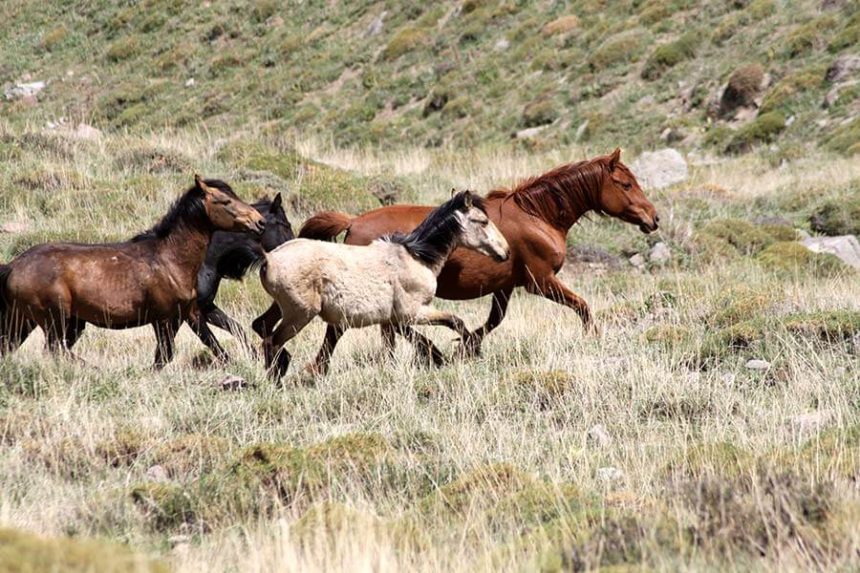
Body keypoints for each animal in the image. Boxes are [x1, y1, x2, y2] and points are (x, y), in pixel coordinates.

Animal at [0, 175, 265, 368]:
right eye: (225, 201)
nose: (259, 222)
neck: (170, 259)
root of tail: (13, 265)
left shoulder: (190, 312)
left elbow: (215, 346)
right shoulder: (164, 319)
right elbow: (165, 356)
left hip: (26, 319)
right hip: (54, 319)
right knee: (55, 350)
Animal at [189, 192, 295, 360]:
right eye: (285, 225)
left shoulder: (206, 306)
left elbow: (234, 327)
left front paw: (255, 355)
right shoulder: (191, 313)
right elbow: (210, 340)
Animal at [259, 190, 509, 380]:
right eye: (483, 221)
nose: (505, 252)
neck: (416, 257)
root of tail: (269, 259)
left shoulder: (392, 318)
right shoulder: (413, 312)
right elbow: (455, 321)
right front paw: (466, 350)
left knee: (264, 329)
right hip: (299, 314)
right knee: (272, 342)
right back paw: (278, 381)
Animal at [283, 148, 658, 363]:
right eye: (626, 184)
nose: (653, 219)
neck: (537, 216)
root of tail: (353, 221)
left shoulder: (505, 286)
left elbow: (494, 321)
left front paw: (467, 346)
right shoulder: (541, 282)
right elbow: (582, 306)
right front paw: (593, 338)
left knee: (389, 330)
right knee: (384, 327)